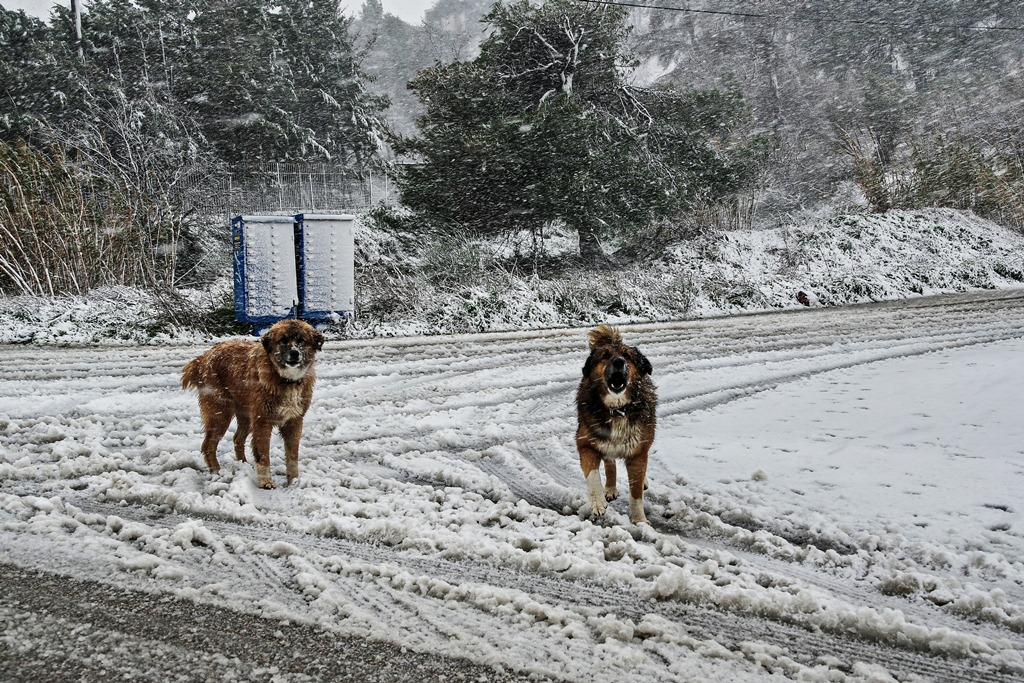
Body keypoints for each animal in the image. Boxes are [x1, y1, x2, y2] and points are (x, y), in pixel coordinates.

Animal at [181, 317, 323, 489]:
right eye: (283, 340)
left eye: (301, 340)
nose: (294, 353)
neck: (285, 380)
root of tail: (203, 357)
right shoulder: (262, 421)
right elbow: (263, 454)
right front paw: (266, 482)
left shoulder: (294, 421)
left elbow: (292, 456)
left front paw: (294, 482)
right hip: (220, 413)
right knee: (208, 444)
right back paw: (217, 472)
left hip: (246, 415)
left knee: (237, 439)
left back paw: (243, 465)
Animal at [577, 325, 655, 524]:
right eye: (605, 356)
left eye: (627, 356)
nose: (619, 362)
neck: (617, 409)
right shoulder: (585, 443)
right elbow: (592, 475)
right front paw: (597, 501)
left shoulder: (638, 452)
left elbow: (636, 492)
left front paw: (639, 520)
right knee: (610, 462)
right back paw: (610, 488)